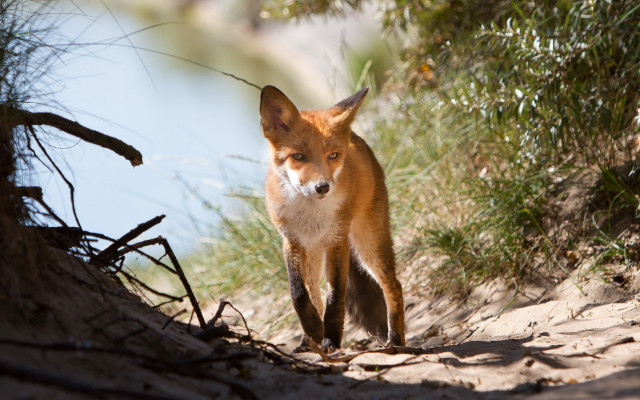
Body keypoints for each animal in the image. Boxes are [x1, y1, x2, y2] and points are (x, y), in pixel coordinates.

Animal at [259, 85, 405, 352]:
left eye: (333, 155)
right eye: (298, 156)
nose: (322, 187)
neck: (311, 215)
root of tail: (355, 136)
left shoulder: (337, 240)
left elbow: (336, 295)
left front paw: (331, 338)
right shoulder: (292, 242)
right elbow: (299, 294)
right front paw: (314, 329)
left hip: (368, 244)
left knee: (393, 286)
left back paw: (396, 341)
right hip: (315, 254)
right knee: (314, 292)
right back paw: (309, 339)